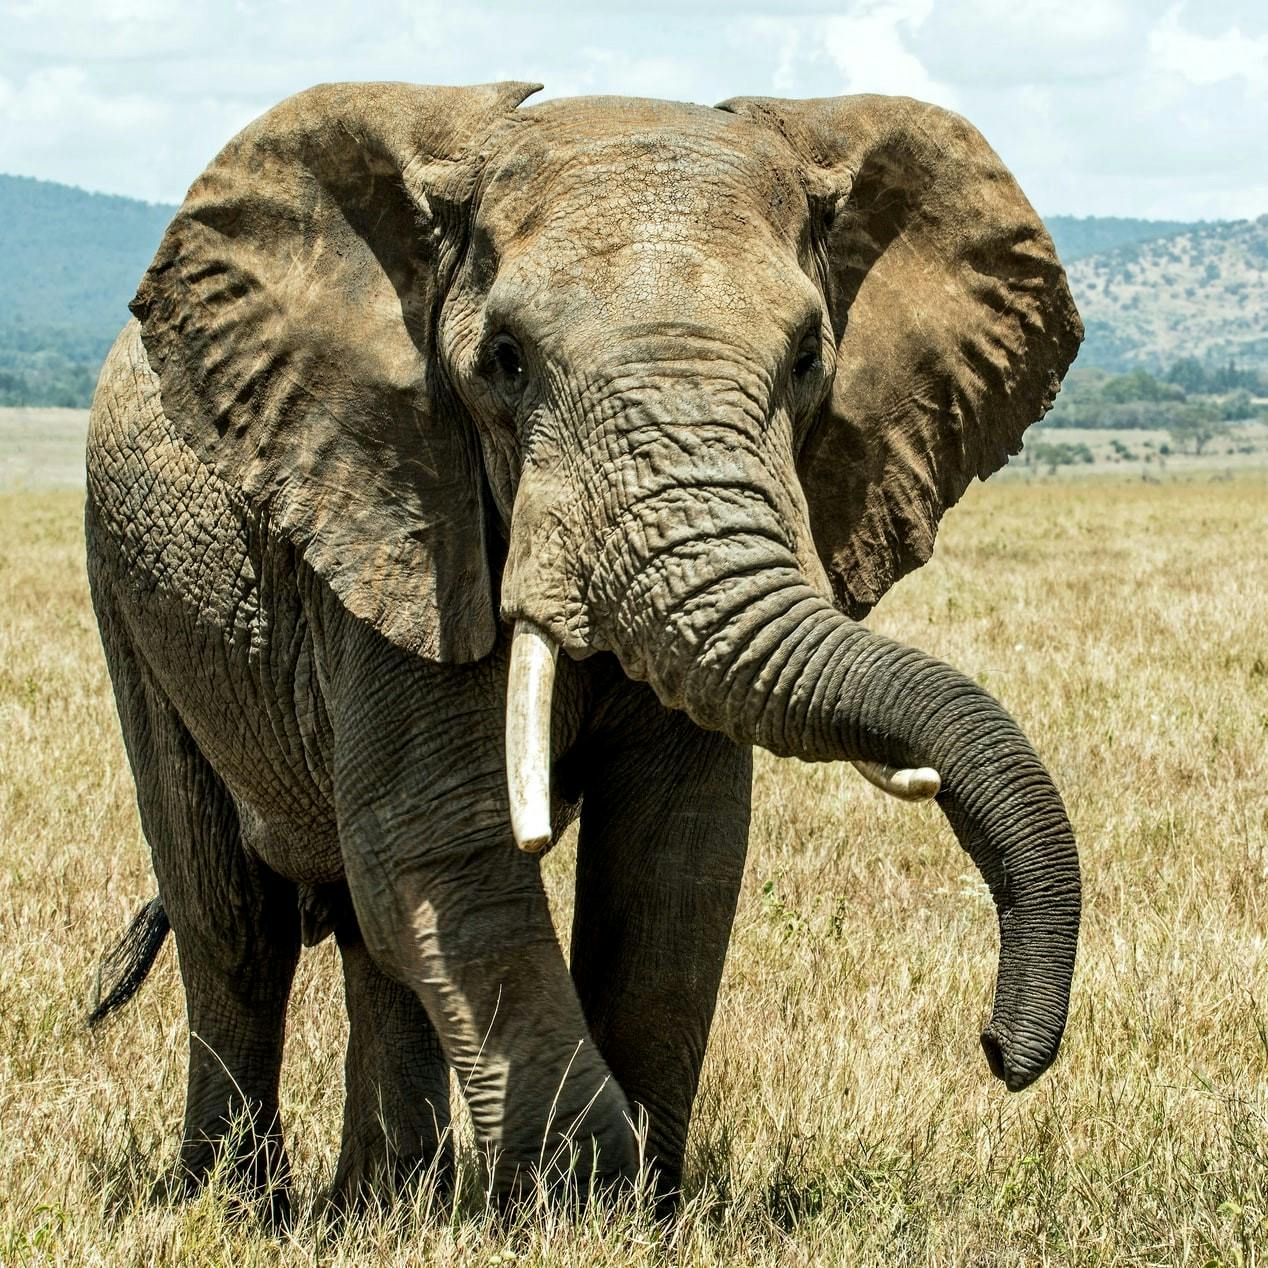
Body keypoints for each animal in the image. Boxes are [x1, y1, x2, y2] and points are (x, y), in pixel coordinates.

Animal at [86, 81, 1080, 1217]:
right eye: (505, 363)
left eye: (806, 360)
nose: (999, 1048)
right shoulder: (400, 515)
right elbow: (442, 840)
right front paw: (584, 1199)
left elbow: (675, 855)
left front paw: (639, 1207)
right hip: (130, 588)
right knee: (233, 920)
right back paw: (238, 1206)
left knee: (366, 933)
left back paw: (384, 1208)